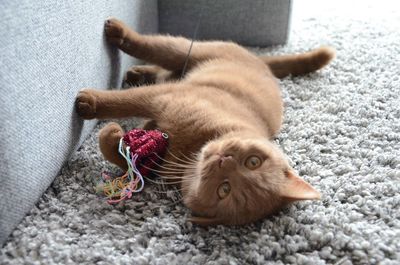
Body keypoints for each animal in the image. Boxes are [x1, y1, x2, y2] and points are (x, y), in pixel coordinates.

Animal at [76, 18, 336, 225]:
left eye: (225, 190)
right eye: (254, 161)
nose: (224, 160)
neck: (190, 148)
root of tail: (261, 62)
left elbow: (122, 155)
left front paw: (109, 131)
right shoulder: (164, 98)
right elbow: (123, 101)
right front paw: (91, 103)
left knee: (163, 69)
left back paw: (136, 72)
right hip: (192, 51)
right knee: (154, 47)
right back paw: (120, 36)